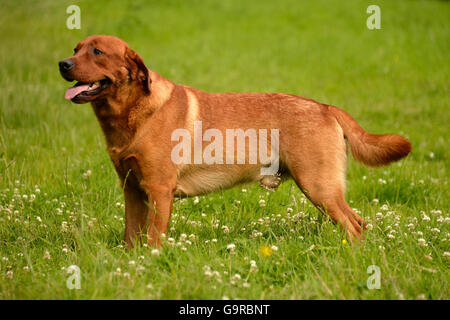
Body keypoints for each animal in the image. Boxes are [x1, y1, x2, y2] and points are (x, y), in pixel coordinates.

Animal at [58, 36, 410, 249]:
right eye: (75, 49)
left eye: (97, 52)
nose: (63, 64)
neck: (131, 117)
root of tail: (325, 107)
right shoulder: (132, 189)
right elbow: (132, 236)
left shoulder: (159, 190)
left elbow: (154, 238)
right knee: (360, 223)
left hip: (319, 186)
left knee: (355, 226)